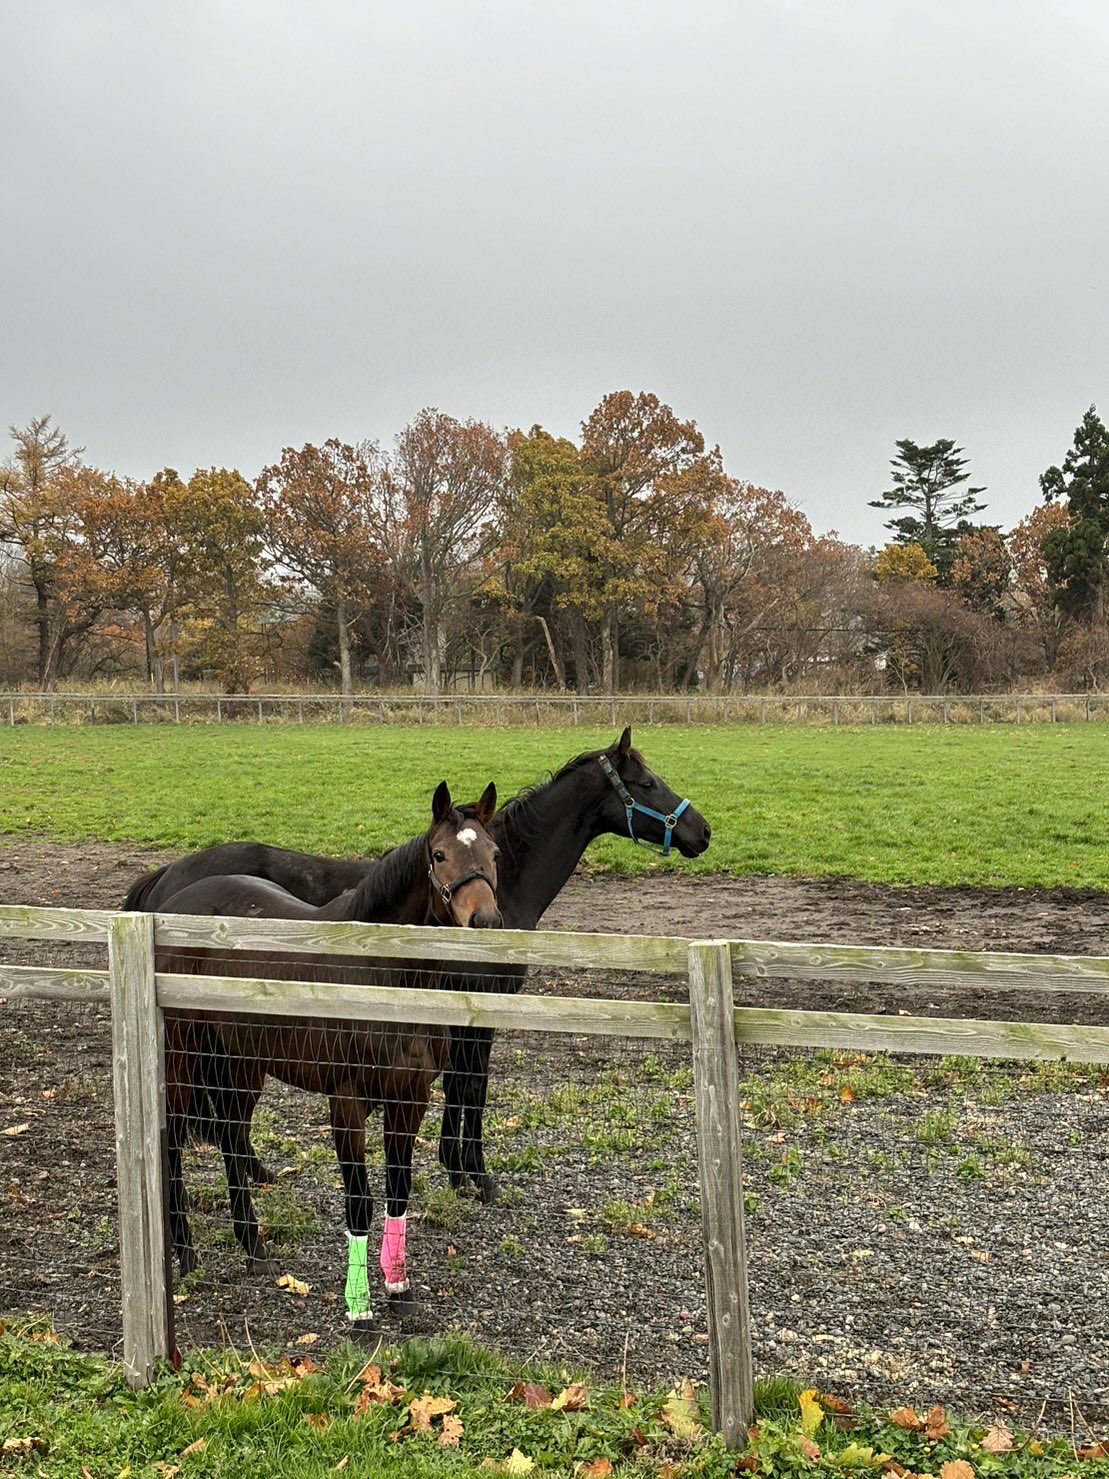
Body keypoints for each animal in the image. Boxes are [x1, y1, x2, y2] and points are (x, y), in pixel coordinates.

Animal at [123, 724, 712, 1200]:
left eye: (495, 855)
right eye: (646, 783)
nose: (701, 832)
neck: (505, 888)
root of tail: (168, 877)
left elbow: (465, 1086)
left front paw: (460, 1169)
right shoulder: (474, 1008)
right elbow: (469, 1086)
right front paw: (470, 1174)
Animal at [158, 780, 502, 1337]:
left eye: (493, 853)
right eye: (439, 854)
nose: (487, 922)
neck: (381, 975)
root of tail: (173, 901)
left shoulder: (410, 1100)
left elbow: (398, 1192)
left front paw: (399, 1292)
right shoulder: (347, 1103)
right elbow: (359, 1202)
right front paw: (359, 1309)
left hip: (241, 1061)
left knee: (231, 1136)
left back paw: (253, 1247)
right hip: (181, 1056)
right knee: (171, 1142)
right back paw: (186, 1253)